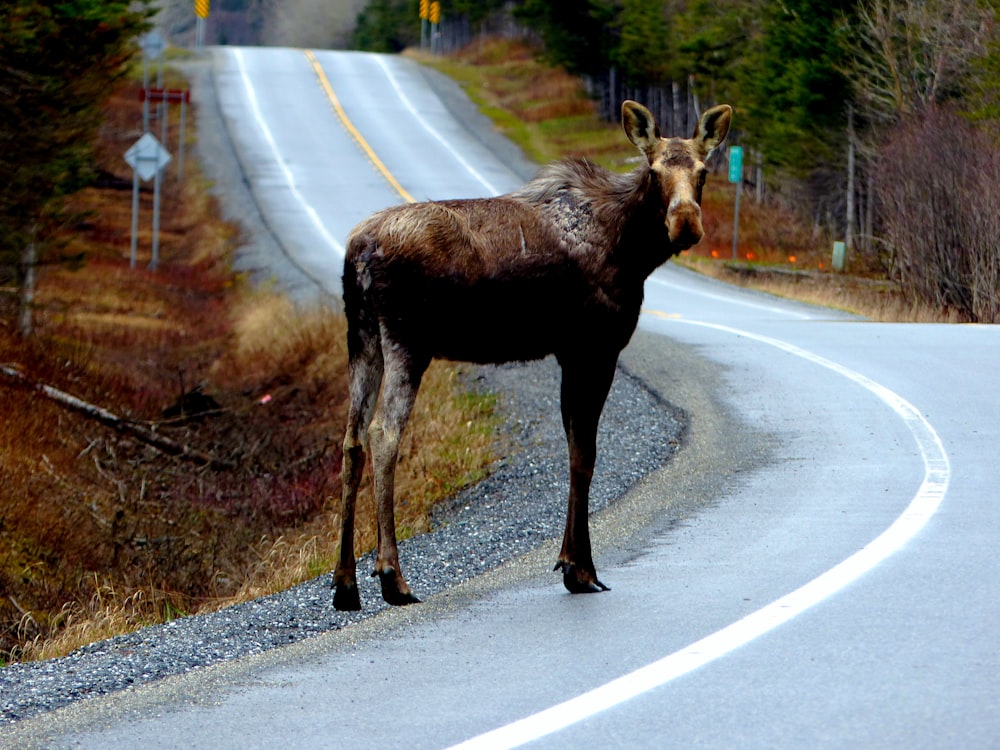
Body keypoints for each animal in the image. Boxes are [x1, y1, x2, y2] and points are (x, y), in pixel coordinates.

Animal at [332, 98, 732, 612]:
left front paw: (571, 562)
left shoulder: (567, 353)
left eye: (703, 171)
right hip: (406, 340)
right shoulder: (595, 346)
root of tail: (358, 253)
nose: (685, 223)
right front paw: (581, 568)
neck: (632, 251)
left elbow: (574, 447)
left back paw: (345, 582)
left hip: (361, 336)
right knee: (384, 433)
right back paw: (391, 575)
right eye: (655, 169)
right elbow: (585, 454)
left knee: (351, 440)